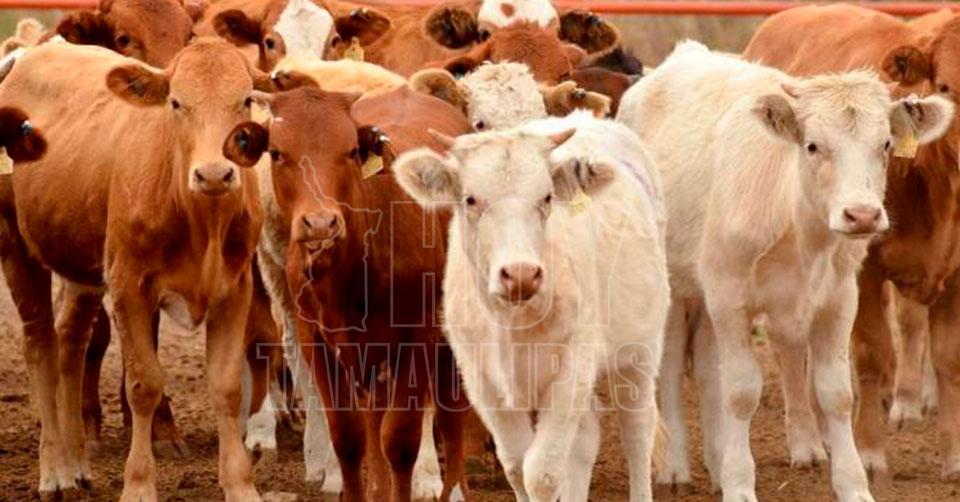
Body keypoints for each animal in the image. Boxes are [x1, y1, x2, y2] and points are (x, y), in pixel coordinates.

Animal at [0, 38, 272, 500]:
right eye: (176, 102)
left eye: (245, 101)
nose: (214, 173)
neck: (201, 220)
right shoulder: (129, 286)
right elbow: (144, 386)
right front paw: (139, 485)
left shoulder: (235, 289)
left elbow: (226, 387)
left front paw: (240, 486)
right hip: (17, 246)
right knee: (39, 343)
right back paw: (54, 471)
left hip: (84, 267)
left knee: (71, 341)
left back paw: (77, 465)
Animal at [250, 83, 473, 501]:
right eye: (277, 152)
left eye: (351, 150)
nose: (321, 223)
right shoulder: (317, 339)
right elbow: (348, 437)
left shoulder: (416, 337)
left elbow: (400, 441)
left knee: (452, 414)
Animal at [394, 110, 668, 501]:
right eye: (470, 199)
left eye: (547, 197)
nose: (521, 274)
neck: (512, 323)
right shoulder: (484, 383)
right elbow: (516, 465)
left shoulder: (572, 370)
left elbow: (541, 473)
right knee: (585, 439)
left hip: (639, 352)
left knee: (637, 432)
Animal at [617, 40, 952, 501]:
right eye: (812, 146)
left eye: (885, 144)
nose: (862, 215)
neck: (798, 228)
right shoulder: (729, 296)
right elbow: (740, 392)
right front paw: (741, 485)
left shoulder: (838, 300)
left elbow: (835, 394)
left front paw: (853, 485)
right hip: (671, 283)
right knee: (668, 362)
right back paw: (674, 466)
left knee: (705, 366)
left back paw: (717, 462)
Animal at [743, 3, 960, 480]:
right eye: (944, 85)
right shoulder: (865, 271)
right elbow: (872, 355)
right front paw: (872, 452)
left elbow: (948, 359)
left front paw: (954, 457)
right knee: (791, 349)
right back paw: (808, 441)